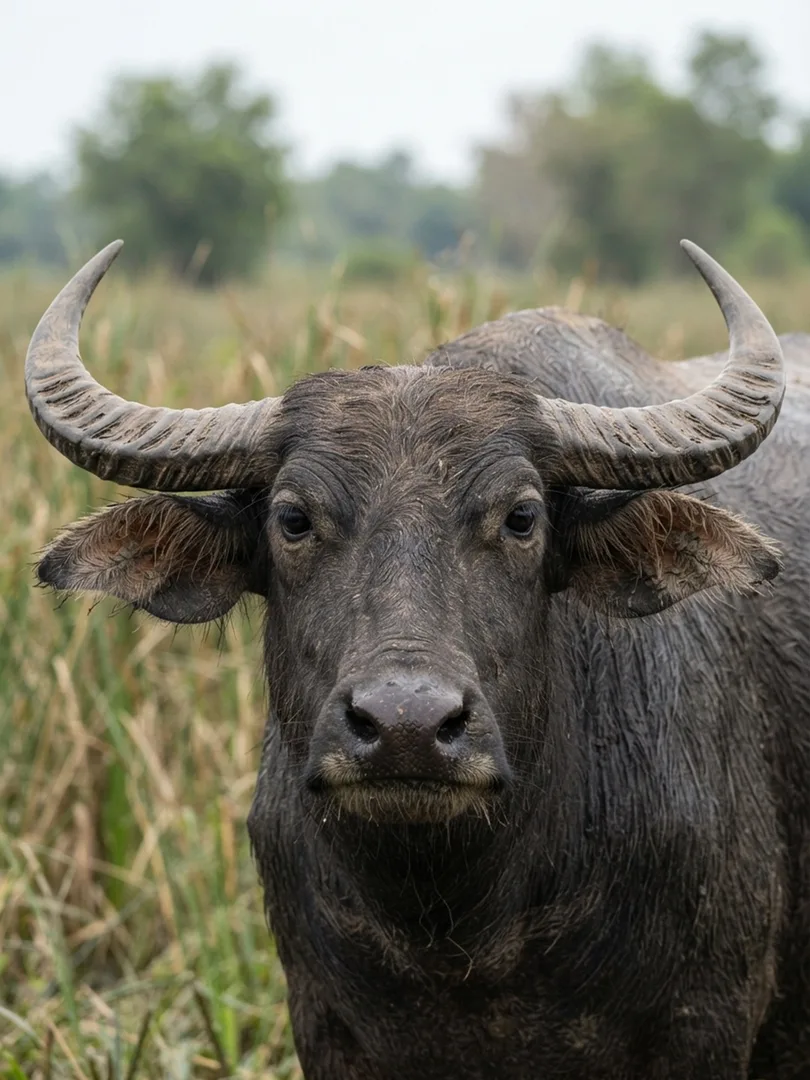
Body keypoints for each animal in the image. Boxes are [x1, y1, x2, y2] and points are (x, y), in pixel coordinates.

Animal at [25, 240, 810, 1078]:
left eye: (522, 517)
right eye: (293, 519)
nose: (407, 726)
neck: (464, 928)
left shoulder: (705, 1023)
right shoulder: (326, 1024)